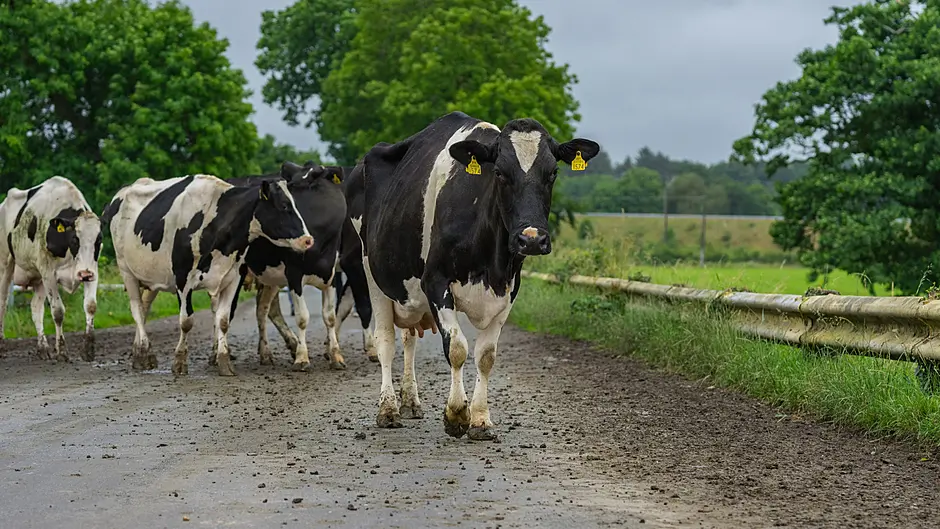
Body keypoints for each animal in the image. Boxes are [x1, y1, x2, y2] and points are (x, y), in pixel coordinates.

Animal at [0, 176, 102, 362]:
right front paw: (61, 351)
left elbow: (90, 306)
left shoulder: (92, 270)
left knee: (35, 307)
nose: (84, 273)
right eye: (75, 238)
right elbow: (58, 311)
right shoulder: (48, 273)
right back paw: (2, 345)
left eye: (98, 240)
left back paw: (43, 348)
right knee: (2, 303)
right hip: (6, 264)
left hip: (38, 277)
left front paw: (88, 350)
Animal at [100, 173, 313, 377]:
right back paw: (145, 352)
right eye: (284, 206)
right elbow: (186, 321)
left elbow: (223, 320)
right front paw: (179, 362)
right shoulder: (183, 280)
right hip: (126, 269)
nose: (308, 240)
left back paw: (140, 354)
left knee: (144, 306)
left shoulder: (233, 278)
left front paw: (224, 362)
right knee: (136, 309)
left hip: (151, 275)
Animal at [228, 161, 349, 371]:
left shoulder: (331, 274)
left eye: (315, 178)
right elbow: (302, 317)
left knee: (263, 309)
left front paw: (336, 356)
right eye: (291, 182)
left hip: (270, 278)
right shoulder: (294, 275)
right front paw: (302, 358)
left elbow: (330, 316)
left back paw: (267, 353)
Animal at [353, 111, 599, 440]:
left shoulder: (508, 290)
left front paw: (480, 419)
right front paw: (457, 413)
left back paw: (410, 402)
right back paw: (388, 409)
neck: (490, 262)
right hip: (373, 275)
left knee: (408, 340)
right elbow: (457, 348)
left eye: (553, 173)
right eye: (500, 173)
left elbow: (486, 356)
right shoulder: (435, 282)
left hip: (409, 295)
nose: (532, 239)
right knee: (386, 343)